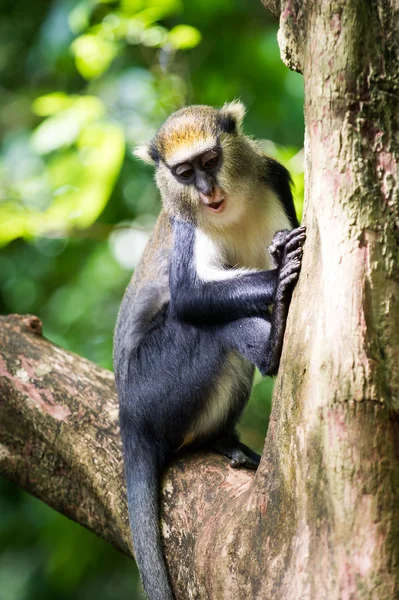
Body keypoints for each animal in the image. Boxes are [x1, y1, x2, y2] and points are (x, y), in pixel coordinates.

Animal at [114, 103, 308, 600]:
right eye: (184, 174)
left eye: (210, 161)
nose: (207, 192)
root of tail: (127, 414)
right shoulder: (186, 224)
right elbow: (190, 297)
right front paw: (280, 270)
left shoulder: (272, 176)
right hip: (154, 384)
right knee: (207, 327)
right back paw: (274, 339)